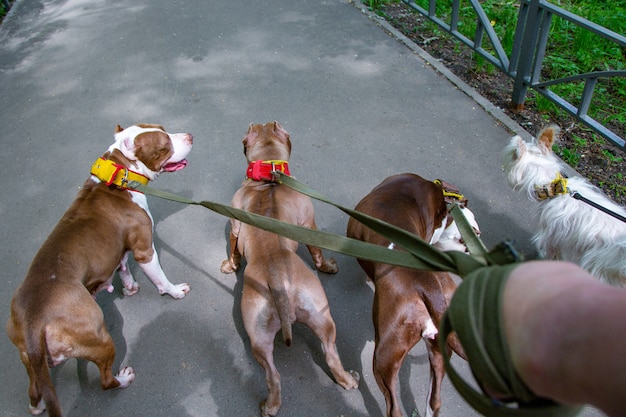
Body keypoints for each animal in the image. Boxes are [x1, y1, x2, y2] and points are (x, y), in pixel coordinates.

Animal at [6, 123, 193, 416]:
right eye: (164, 144)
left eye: (164, 128)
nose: (190, 136)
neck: (119, 174)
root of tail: (35, 320)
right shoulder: (145, 250)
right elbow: (160, 278)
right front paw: (174, 291)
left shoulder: (120, 251)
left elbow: (123, 266)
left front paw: (129, 287)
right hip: (100, 337)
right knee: (106, 380)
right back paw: (123, 379)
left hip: (27, 357)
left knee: (34, 390)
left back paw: (37, 405)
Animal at [219, 120, 358, 416]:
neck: (268, 177)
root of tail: (278, 278)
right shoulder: (308, 223)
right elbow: (317, 252)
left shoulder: (236, 224)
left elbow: (234, 247)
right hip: (316, 320)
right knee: (325, 356)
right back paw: (345, 381)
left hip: (264, 332)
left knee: (275, 374)